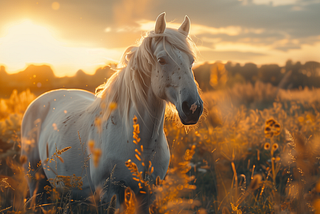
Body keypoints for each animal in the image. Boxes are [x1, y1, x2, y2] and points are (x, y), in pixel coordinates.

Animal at [20, 12, 202, 212]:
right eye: (162, 60)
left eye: (191, 61)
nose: (193, 108)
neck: (139, 143)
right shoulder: (110, 193)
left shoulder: (146, 193)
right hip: (33, 176)